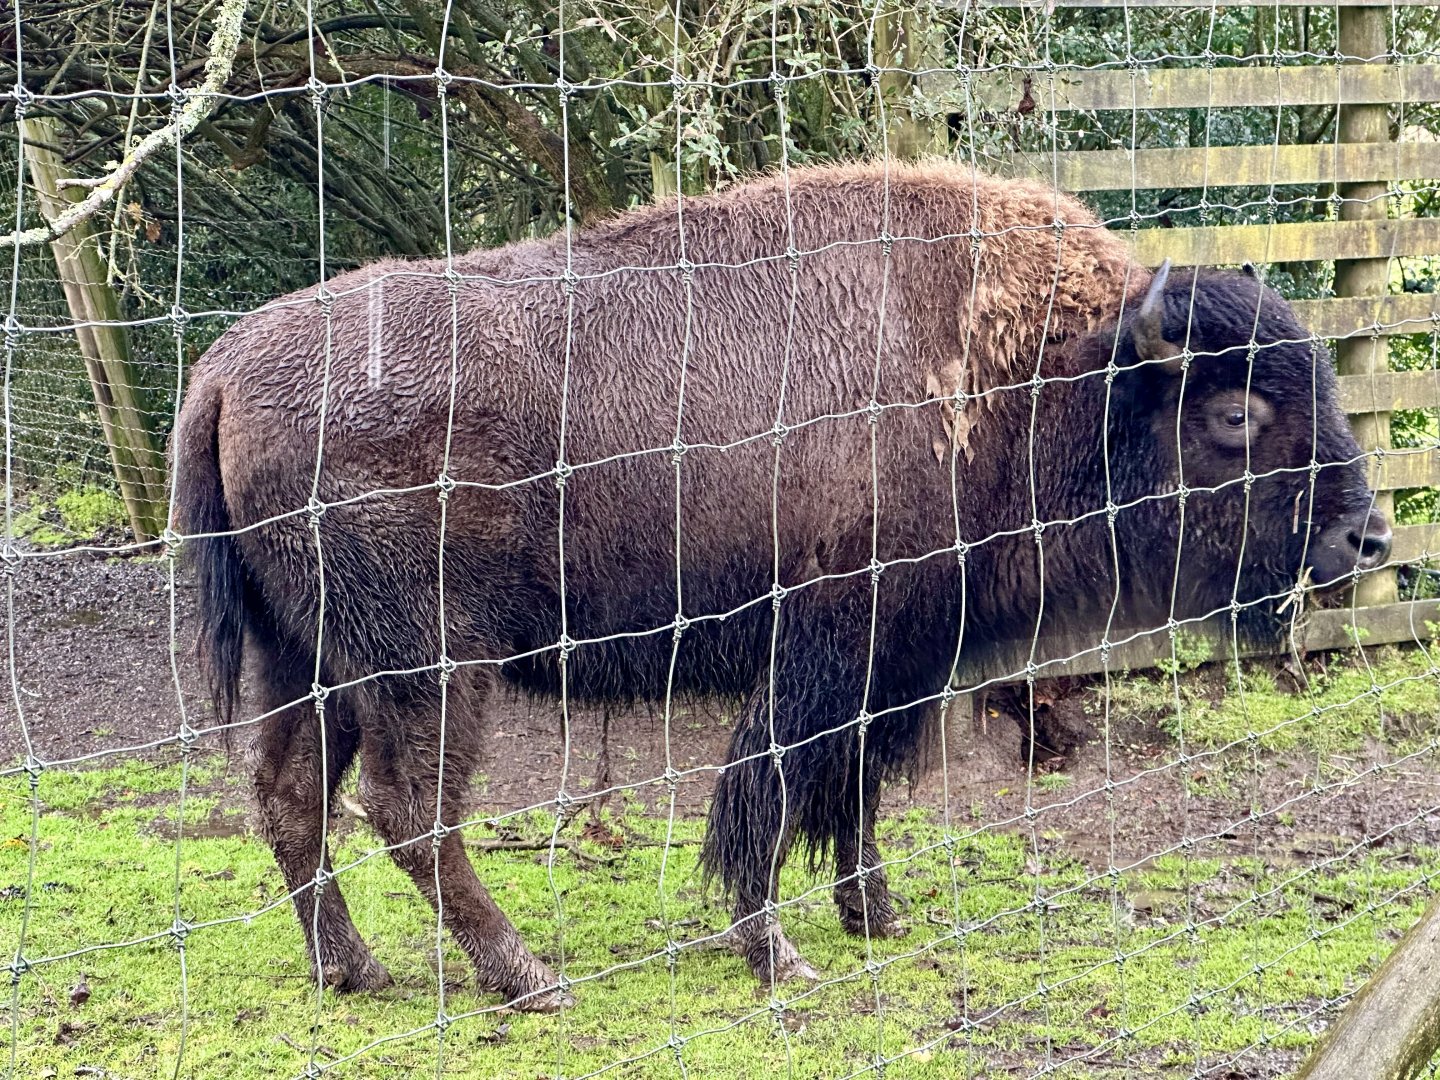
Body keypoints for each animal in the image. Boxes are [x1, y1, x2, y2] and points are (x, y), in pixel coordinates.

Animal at [172, 161, 1391, 1011]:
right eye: (1236, 412)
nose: (1367, 538)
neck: (1048, 374)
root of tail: (221, 371)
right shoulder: (823, 650)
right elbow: (771, 791)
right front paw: (778, 953)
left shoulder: (898, 662)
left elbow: (854, 793)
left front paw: (874, 918)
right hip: (427, 668)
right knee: (408, 813)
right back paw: (527, 978)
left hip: (310, 661)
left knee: (289, 795)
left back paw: (353, 970)